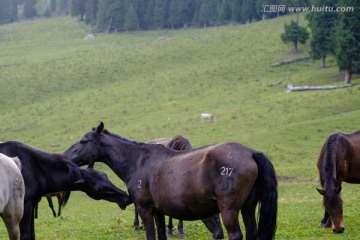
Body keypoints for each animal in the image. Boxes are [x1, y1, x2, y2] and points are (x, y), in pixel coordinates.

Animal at [0, 141, 132, 240]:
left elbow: (32, 235)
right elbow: (26, 235)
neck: (33, 168)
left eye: (106, 176)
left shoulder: (31, 206)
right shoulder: (24, 207)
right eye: (99, 189)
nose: (127, 198)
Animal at [65, 123, 278, 240]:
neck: (138, 160)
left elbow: (151, 235)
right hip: (248, 208)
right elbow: (161, 235)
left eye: (83, 141)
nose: (65, 156)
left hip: (229, 209)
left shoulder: (145, 209)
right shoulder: (158, 211)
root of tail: (251, 153)